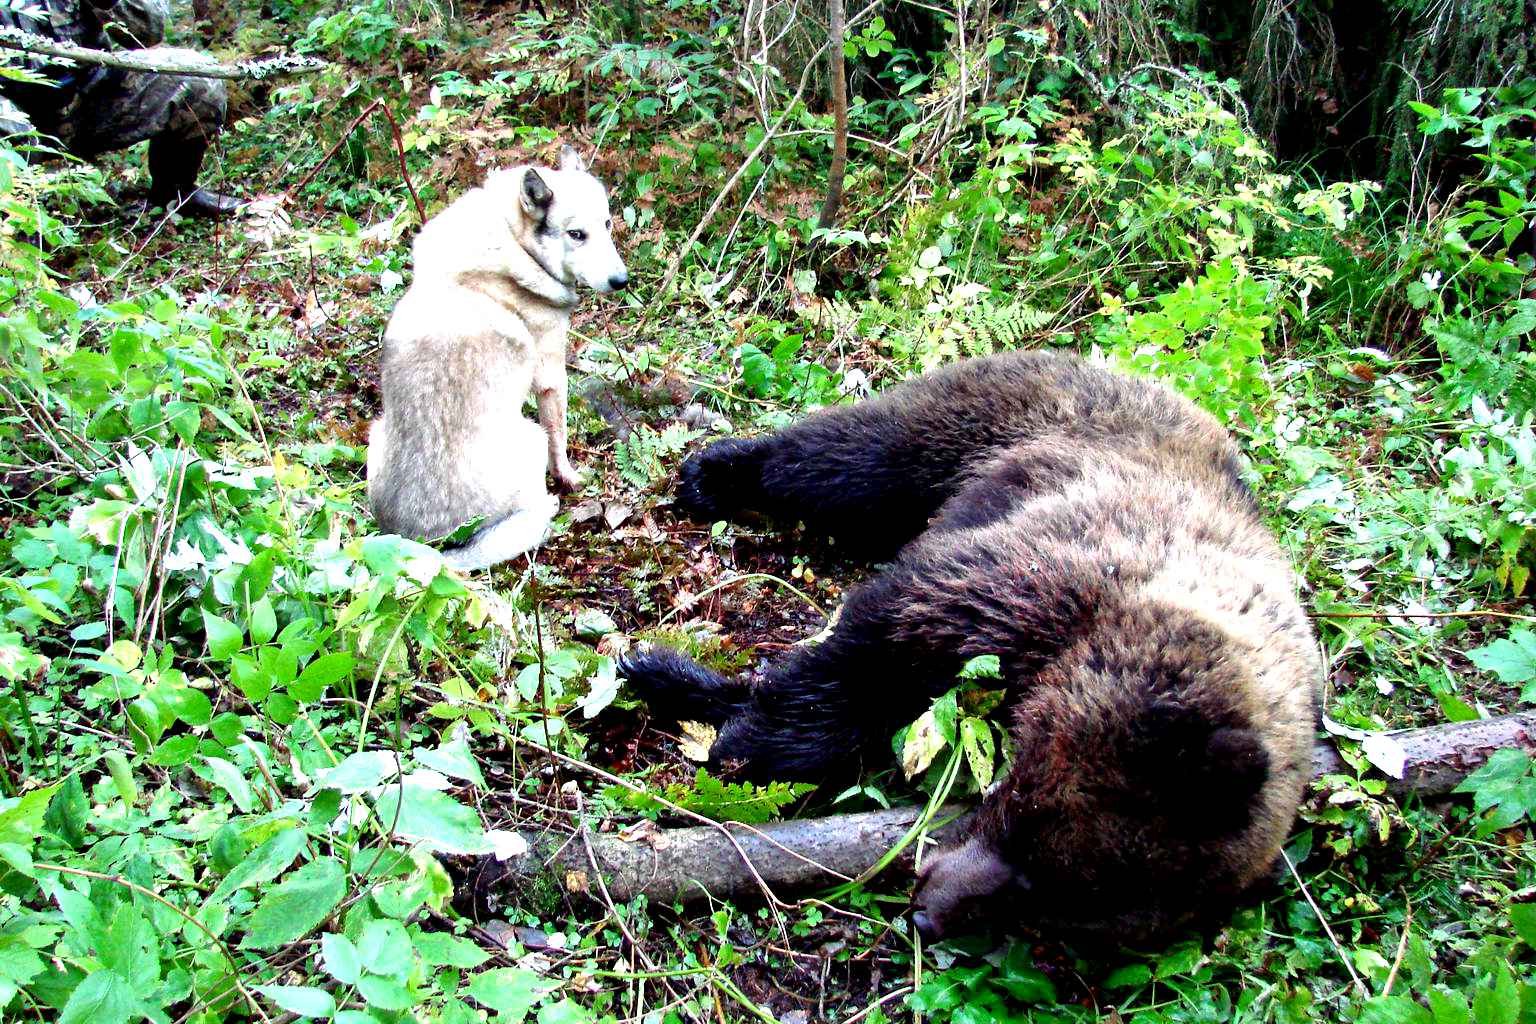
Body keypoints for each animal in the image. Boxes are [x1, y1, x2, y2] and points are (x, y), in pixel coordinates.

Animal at [368, 148, 626, 574]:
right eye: (576, 235)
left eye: (606, 224)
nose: (622, 281)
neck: (514, 242)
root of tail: (433, 545)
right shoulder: (551, 378)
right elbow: (560, 440)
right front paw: (570, 478)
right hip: (531, 437)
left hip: (376, 433)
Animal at [614, 350, 1320, 945]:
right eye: (1027, 821)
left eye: (1064, 913)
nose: (926, 913)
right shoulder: (1043, 572)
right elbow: (880, 643)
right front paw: (735, 737)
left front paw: (699, 693)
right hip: (983, 426)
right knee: (846, 458)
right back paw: (711, 475)